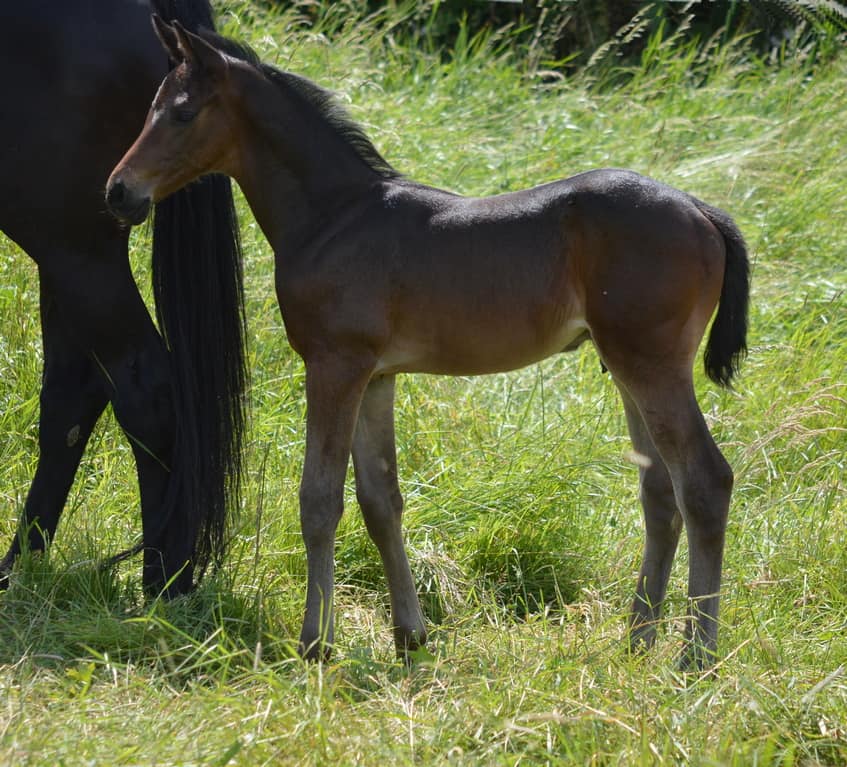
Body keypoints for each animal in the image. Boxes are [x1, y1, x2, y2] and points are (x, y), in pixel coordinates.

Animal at [109, 22, 752, 672]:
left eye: (182, 112)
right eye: (150, 107)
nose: (118, 192)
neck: (334, 217)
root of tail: (702, 210)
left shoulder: (334, 365)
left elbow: (319, 500)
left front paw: (316, 643)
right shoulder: (376, 376)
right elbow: (379, 500)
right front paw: (409, 635)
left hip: (652, 366)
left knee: (704, 482)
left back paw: (696, 653)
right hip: (625, 367)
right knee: (660, 492)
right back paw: (638, 638)